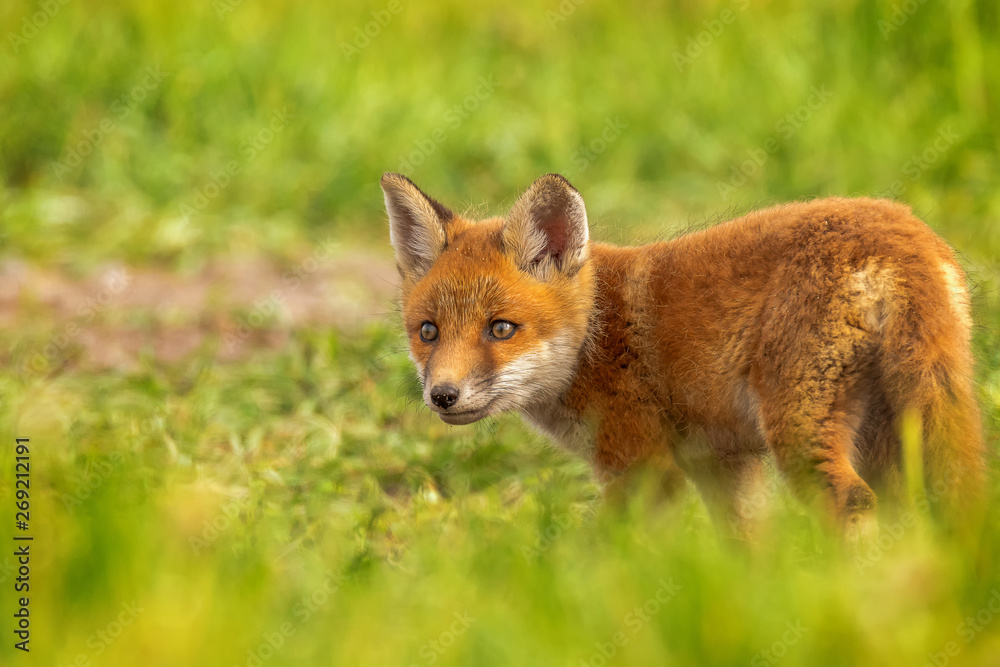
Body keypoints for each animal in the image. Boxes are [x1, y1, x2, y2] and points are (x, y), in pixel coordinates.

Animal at [380, 174, 984, 536]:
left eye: (501, 329)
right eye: (428, 332)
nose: (443, 395)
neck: (594, 335)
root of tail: (903, 233)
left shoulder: (644, 470)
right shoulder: (722, 464)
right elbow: (748, 547)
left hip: (801, 433)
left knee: (853, 502)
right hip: (900, 433)